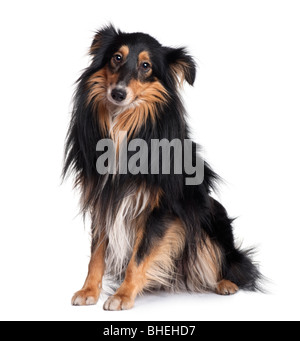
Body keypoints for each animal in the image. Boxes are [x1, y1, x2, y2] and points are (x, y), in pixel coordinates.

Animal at [63, 25, 260, 310]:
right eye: (117, 58)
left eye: (146, 66)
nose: (118, 93)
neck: (122, 124)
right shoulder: (103, 199)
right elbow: (97, 252)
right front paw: (89, 290)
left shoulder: (161, 207)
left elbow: (139, 255)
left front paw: (123, 295)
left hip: (212, 220)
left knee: (233, 263)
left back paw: (225, 283)